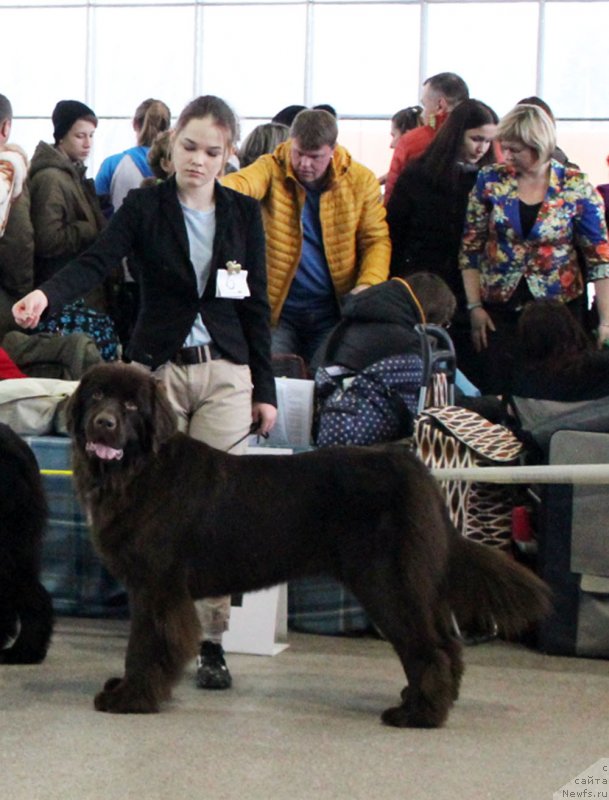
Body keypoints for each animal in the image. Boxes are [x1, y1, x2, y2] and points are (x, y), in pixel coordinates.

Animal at [66, 366, 552, 728]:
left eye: (131, 405)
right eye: (97, 396)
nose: (103, 424)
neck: (136, 472)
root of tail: (419, 470)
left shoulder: (159, 586)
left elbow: (146, 645)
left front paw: (131, 698)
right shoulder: (148, 587)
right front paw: (127, 690)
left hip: (387, 582)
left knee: (427, 647)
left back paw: (418, 714)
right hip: (408, 582)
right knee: (445, 645)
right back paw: (427, 700)